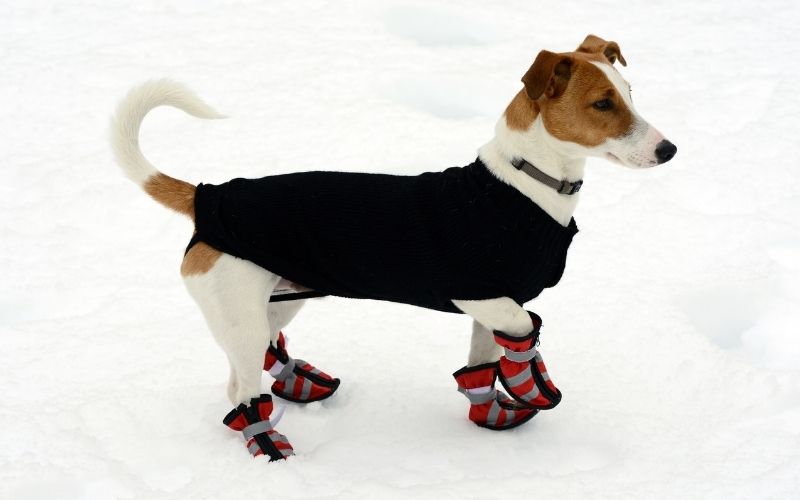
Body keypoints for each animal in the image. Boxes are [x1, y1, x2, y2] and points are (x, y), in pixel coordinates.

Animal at [111, 32, 676, 460]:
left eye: (631, 93)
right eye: (602, 104)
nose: (669, 149)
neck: (523, 186)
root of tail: (208, 196)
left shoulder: (490, 305)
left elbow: (484, 360)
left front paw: (491, 408)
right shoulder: (482, 295)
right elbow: (522, 330)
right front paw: (530, 380)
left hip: (277, 298)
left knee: (254, 359)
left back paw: (297, 383)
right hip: (241, 311)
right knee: (242, 390)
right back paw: (268, 443)